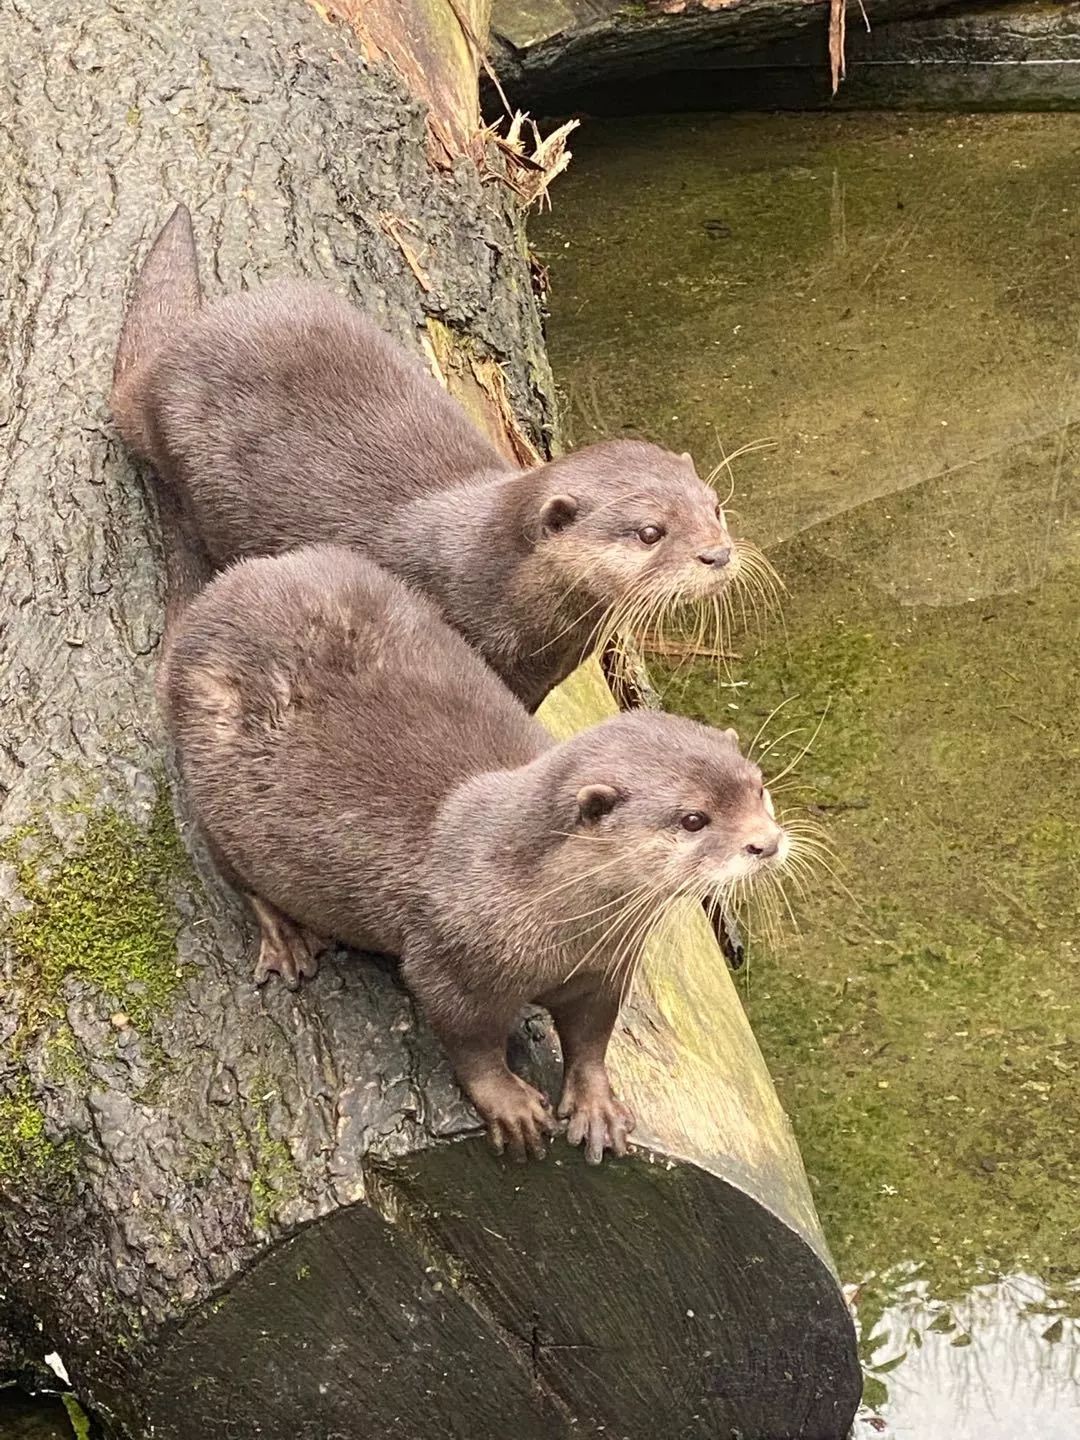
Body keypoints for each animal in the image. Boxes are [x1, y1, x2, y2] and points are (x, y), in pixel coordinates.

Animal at [164, 541, 794, 1157]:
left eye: (758, 787)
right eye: (693, 819)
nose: (766, 843)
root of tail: (224, 589)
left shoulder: (606, 965)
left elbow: (592, 1036)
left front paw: (595, 1105)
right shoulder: (447, 965)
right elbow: (470, 1042)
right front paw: (510, 1103)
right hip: (211, 785)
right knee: (231, 868)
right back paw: (287, 938)